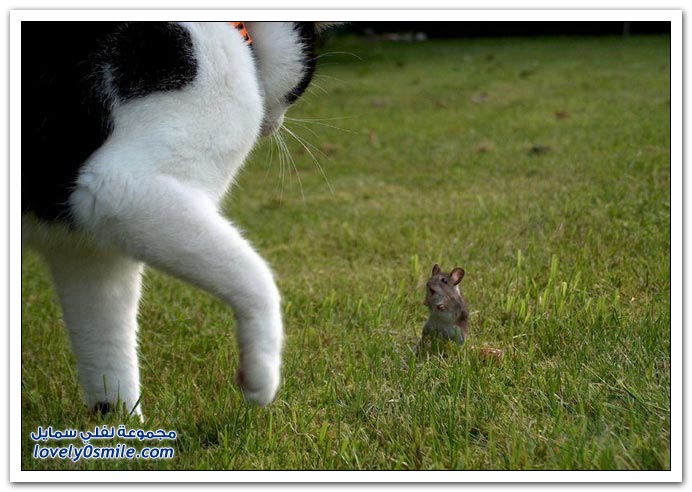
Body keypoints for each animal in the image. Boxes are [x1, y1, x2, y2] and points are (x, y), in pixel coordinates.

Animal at [22, 21, 337, 418]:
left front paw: (123, 427)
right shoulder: (120, 190)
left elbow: (107, 347)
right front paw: (261, 377)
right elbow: (258, 279)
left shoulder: (89, 251)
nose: (274, 126)